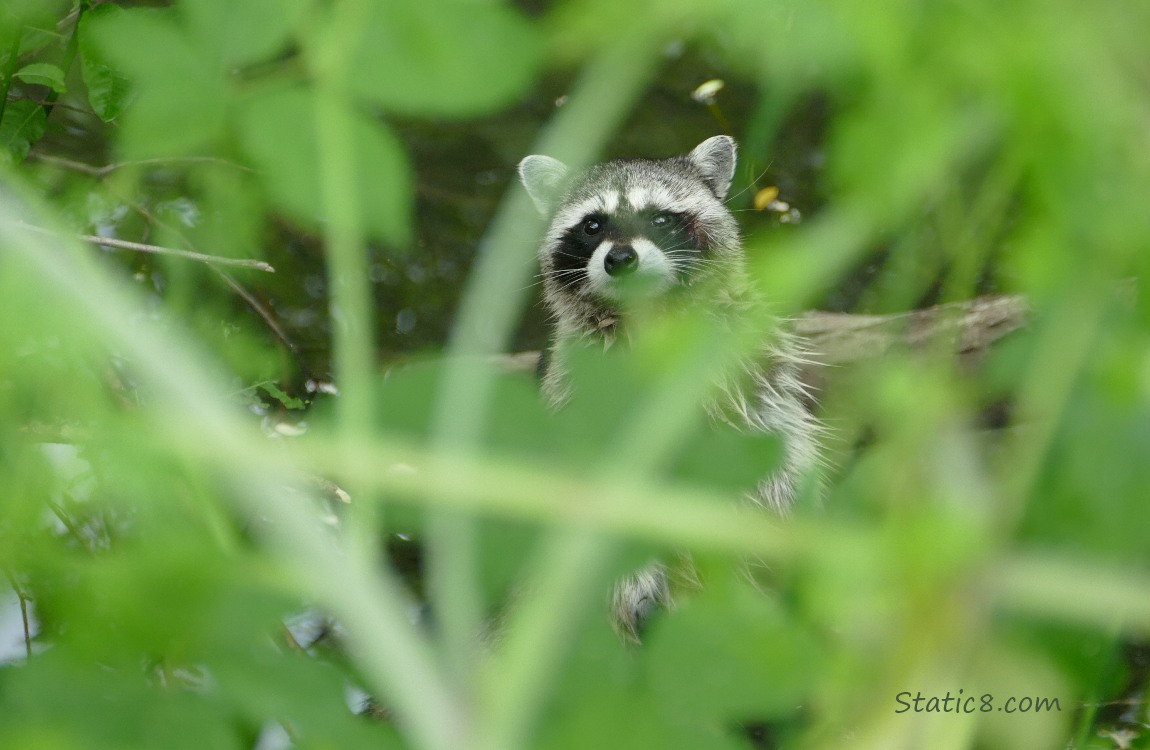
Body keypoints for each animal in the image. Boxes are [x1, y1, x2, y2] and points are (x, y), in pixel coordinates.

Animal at [518, 136, 820, 639]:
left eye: (659, 218)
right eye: (592, 225)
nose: (620, 259)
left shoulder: (750, 373)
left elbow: (770, 463)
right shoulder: (578, 389)